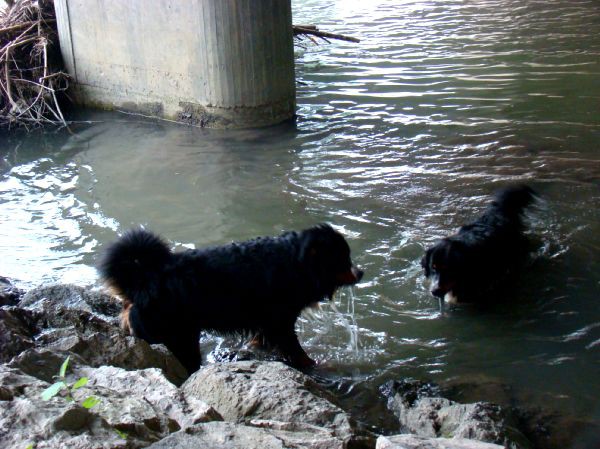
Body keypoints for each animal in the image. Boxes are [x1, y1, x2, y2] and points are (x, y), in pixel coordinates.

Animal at [99, 224, 360, 374]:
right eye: (343, 259)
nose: (361, 272)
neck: (293, 261)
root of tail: (143, 280)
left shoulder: (266, 324)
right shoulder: (281, 324)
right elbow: (298, 352)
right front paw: (316, 366)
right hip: (177, 338)